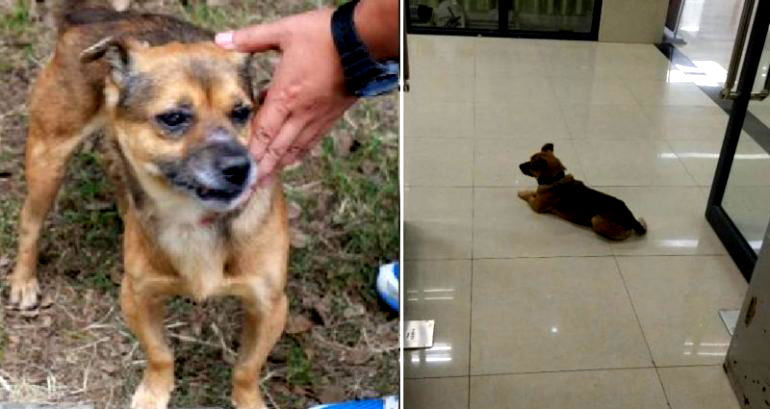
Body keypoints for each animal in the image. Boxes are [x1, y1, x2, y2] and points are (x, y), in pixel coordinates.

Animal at [6, 3, 288, 408]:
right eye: (173, 118)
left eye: (241, 112)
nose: (239, 168)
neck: (191, 218)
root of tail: (94, 14)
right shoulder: (137, 296)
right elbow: (160, 353)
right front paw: (154, 394)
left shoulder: (270, 306)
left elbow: (246, 369)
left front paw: (248, 402)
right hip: (49, 157)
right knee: (31, 221)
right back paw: (23, 281)